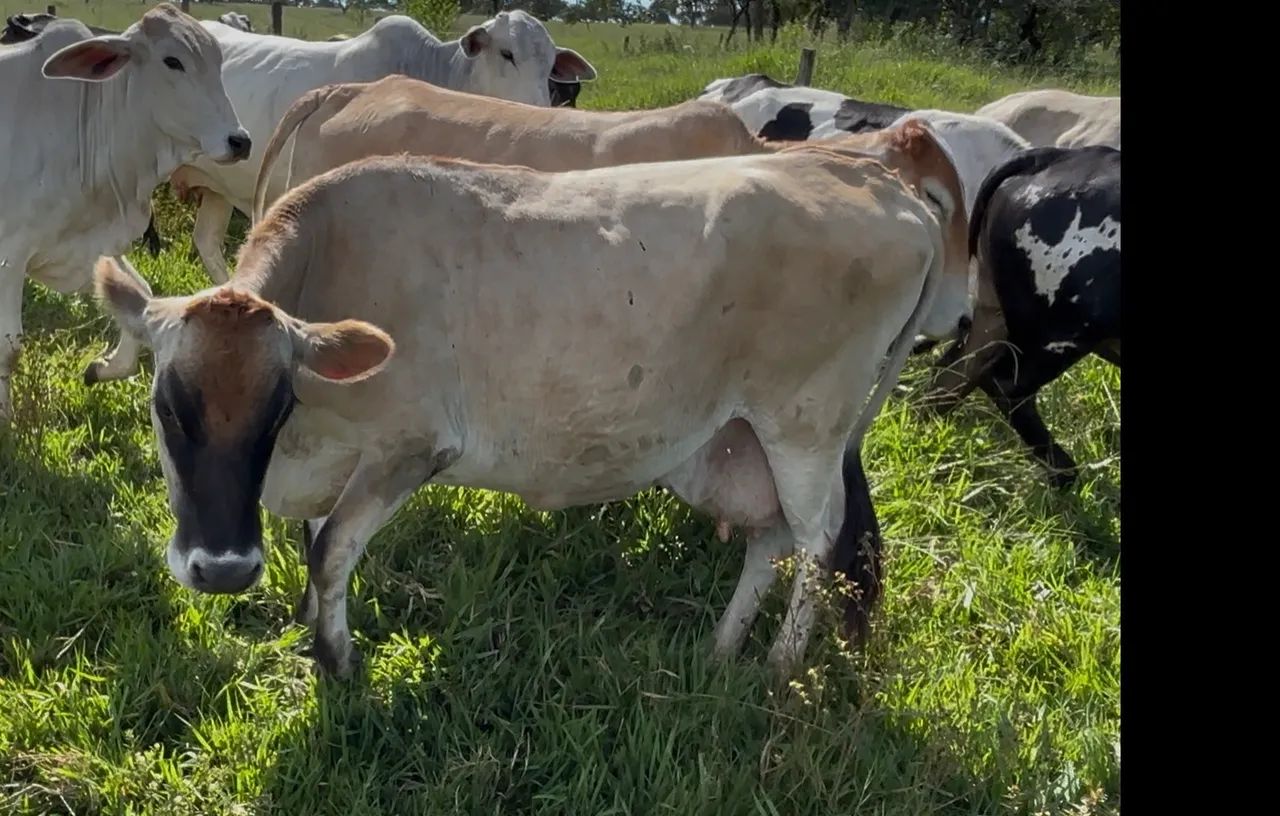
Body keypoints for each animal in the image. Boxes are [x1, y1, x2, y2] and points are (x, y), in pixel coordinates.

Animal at [0, 3, 249, 422]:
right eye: (172, 61)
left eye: (218, 61)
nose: (240, 141)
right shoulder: (10, 256)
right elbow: (9, 348)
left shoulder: (80, 248)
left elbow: (141, 297)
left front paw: (103, 367)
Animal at [91, 126, 963, 678]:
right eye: (168, 410)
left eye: (275, 409)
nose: (224, 569)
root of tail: (878, 176)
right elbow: (315, 547)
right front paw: (313, 627)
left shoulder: (407, 449)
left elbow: (332, 548)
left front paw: (339, 663)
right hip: (737, 439)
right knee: (771, 539)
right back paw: (722, 650)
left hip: (805, 427)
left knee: (819, 542)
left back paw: (780, 668)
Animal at [923, 145, 1120, 488]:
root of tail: (1054, 157)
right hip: (1059, 336)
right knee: (1006, 387)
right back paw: (1063, 472)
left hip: (995, 321)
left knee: (949, 378)